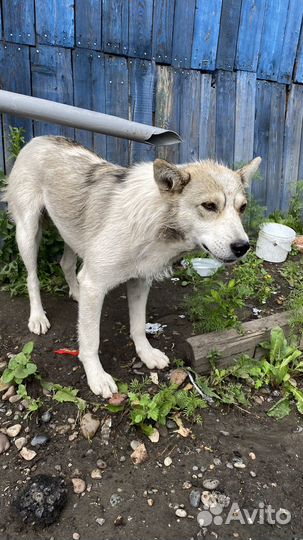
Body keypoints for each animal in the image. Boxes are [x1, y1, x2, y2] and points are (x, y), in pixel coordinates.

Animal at [3, 135, 262, 396]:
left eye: (242, 208)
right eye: (209, 206)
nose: (242, 247)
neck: (154, 219)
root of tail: (40, 138)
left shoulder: (139, 281)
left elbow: (138, 325)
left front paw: (146, 354)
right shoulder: (95, 284)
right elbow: (91, 339)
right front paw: (96, 376)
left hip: (73, 235)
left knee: (66, 264)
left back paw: (75, 292)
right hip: (28, 233)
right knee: (32, 278)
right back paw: (38, 317)